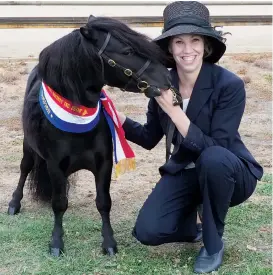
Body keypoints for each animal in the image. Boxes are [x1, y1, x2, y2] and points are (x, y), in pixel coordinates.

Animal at [7, 16, 172, 258]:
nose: (167, 78)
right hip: (28, 147)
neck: (77, 123)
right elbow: (59, 204)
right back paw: (13, 204)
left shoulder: (103, 164)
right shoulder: (55, 166)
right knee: (24, 169)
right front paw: (56, 243)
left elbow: (103, 202)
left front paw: (109, 243)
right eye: (128, 50)